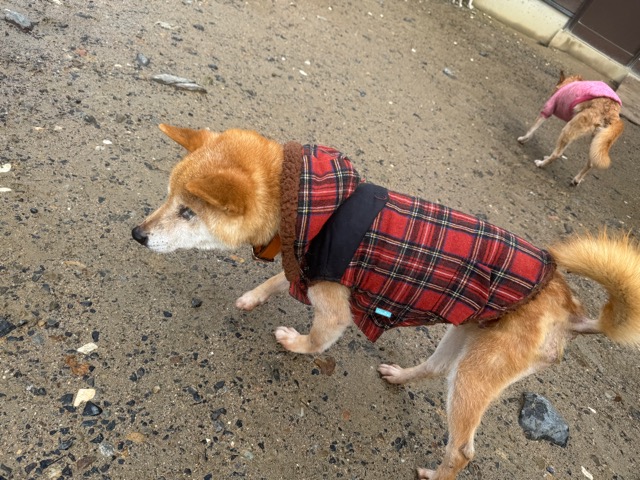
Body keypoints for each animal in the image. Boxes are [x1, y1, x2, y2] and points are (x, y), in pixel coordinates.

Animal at [132, 124, 640, 480]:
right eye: (167, 197)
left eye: (187, 212)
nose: (137, 233)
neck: (310, 205)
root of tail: (571, 309)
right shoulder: (308, 264)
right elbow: (278, 280)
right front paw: (253, 297)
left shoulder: (333, 306)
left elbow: (316, 339)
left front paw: (293, 343)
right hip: (465, 339)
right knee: (434, 369)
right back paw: (400, 376)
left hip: (476, 376)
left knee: (463, 450)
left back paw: (436, 473)